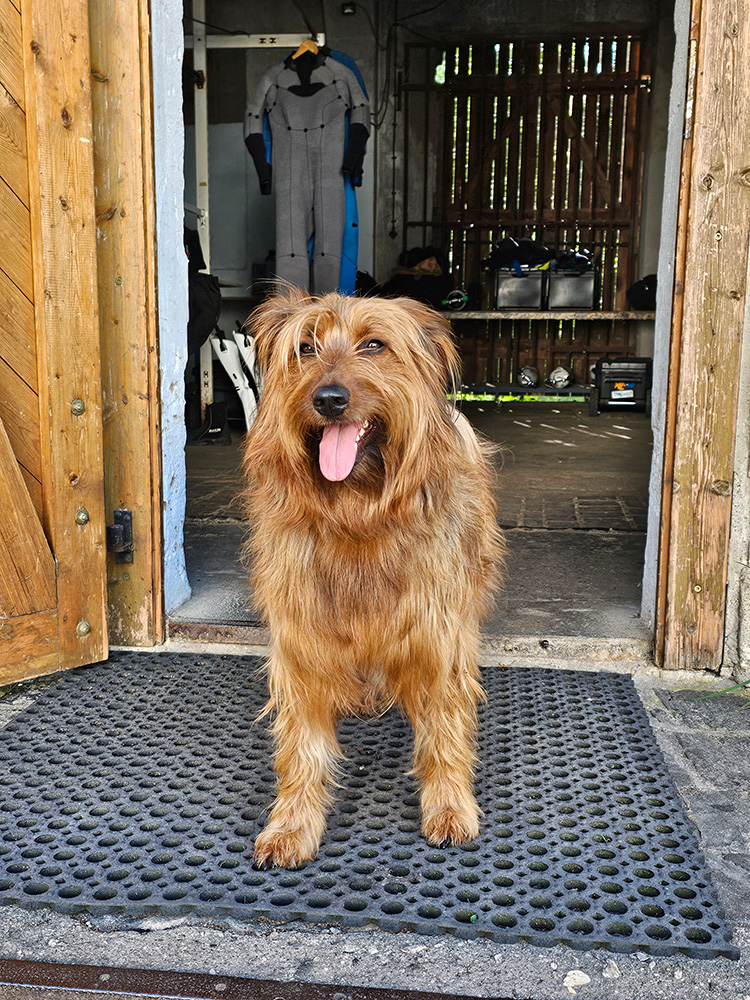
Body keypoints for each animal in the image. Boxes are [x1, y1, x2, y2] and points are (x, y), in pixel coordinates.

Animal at [244, 288, 508, 868]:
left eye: (374, 345)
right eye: (305, 347)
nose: (329, 399)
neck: (359, 515)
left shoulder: (437, 636)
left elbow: (445, 727)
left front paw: (449, 805)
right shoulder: (302, 639)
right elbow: (302, 745)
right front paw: (292, 824)